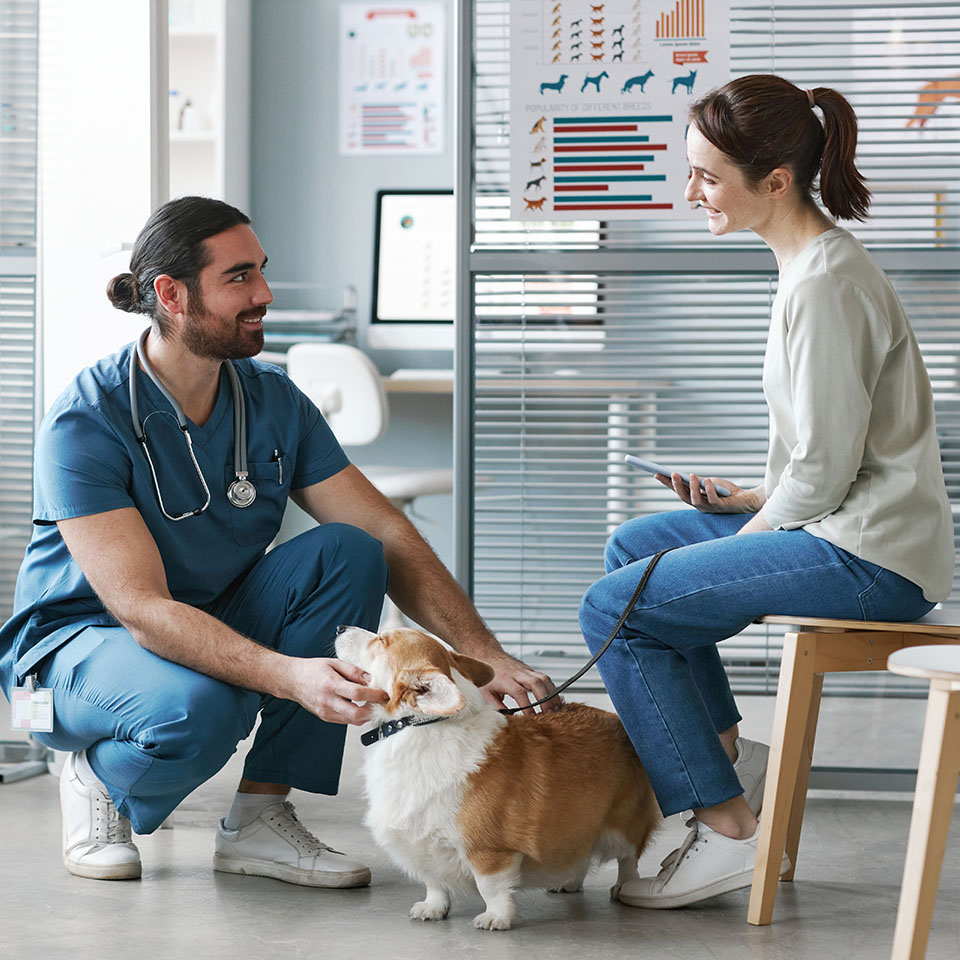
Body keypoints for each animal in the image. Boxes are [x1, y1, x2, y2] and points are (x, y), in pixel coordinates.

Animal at [332, 624, 660, 928]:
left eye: (382, 641)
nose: (339, 627)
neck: (418, 725)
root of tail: (618, 722)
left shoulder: (489, 850)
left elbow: (490, 887)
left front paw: (497, 918)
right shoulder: (424, 844)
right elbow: (434, 881)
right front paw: (433, 909)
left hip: (622, 825)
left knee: (628, 858)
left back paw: (625, 887)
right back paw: (569, 882)